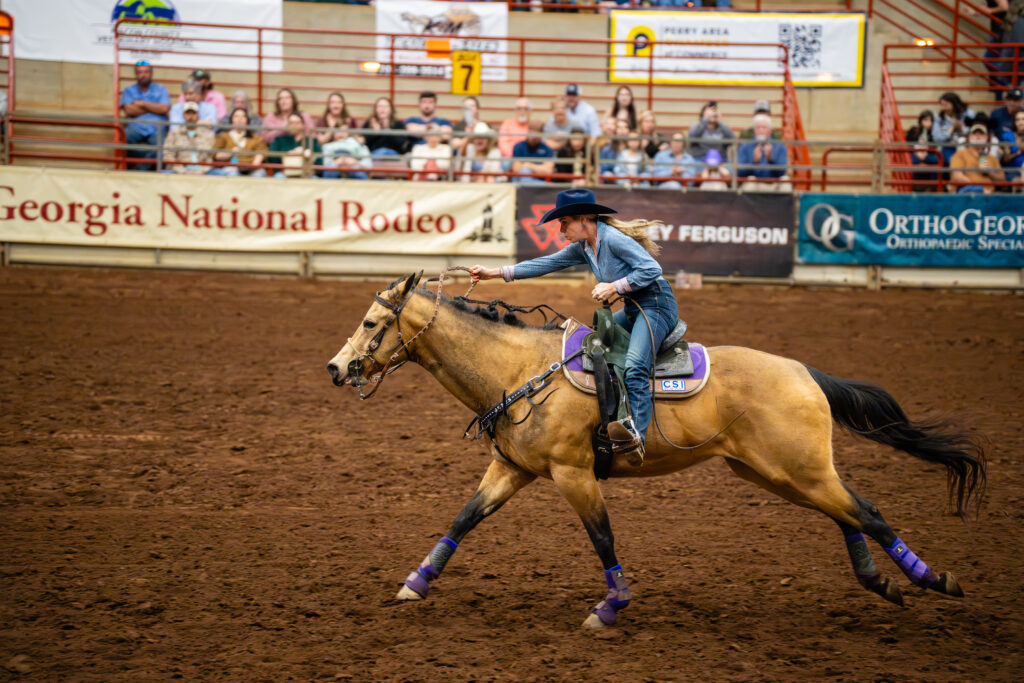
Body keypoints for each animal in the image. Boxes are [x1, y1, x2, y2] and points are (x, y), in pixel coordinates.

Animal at [326, 271, 986, 629]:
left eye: (371, 324)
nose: (335, 368)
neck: (519, 370)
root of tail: (805, 372)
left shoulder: (573, 474)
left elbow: (602, 538)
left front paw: (610, 607)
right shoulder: (512, 468)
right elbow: (463, 518)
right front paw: (415, 583)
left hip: (796, 469)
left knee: (866, 512)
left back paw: (932, 580)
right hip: (775, 473)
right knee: (847, 514)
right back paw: (882, 583)